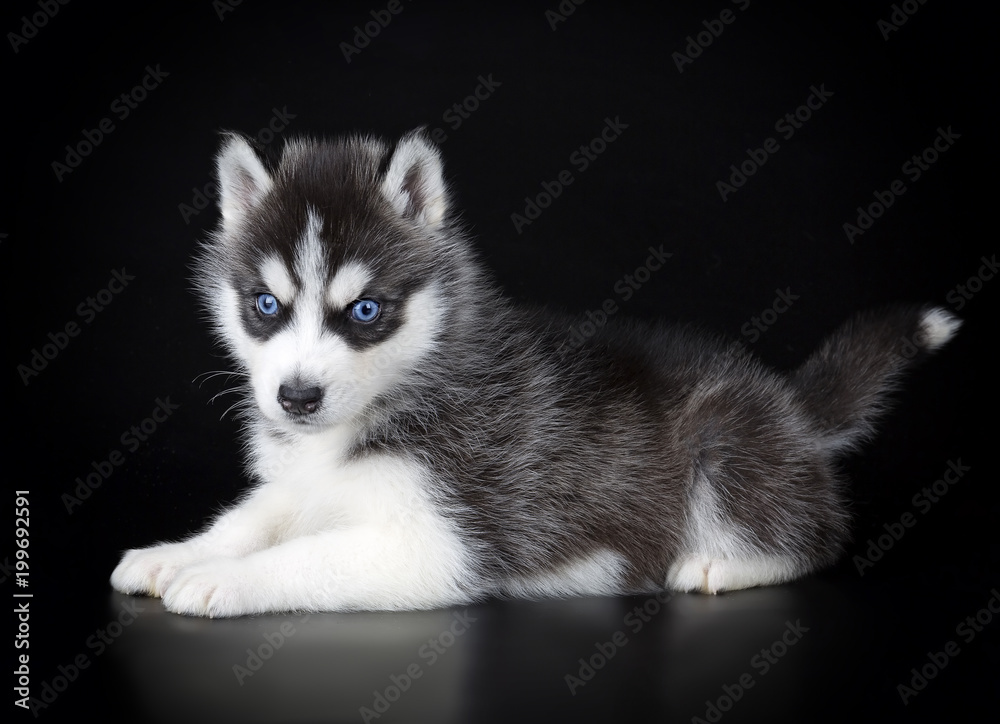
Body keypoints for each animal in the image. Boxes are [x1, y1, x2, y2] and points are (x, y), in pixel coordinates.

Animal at [111, 130, 960, 616]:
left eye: (365, 311)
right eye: (265, 305)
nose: (296, 397)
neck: (408, 383)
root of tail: (789, 405)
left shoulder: (442, 544)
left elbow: (305, 556)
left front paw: (224, 582)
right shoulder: (302, 485)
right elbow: (251, 519)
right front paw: (175, 553)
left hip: (726, 440)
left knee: (818, 534)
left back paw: (721, 563)